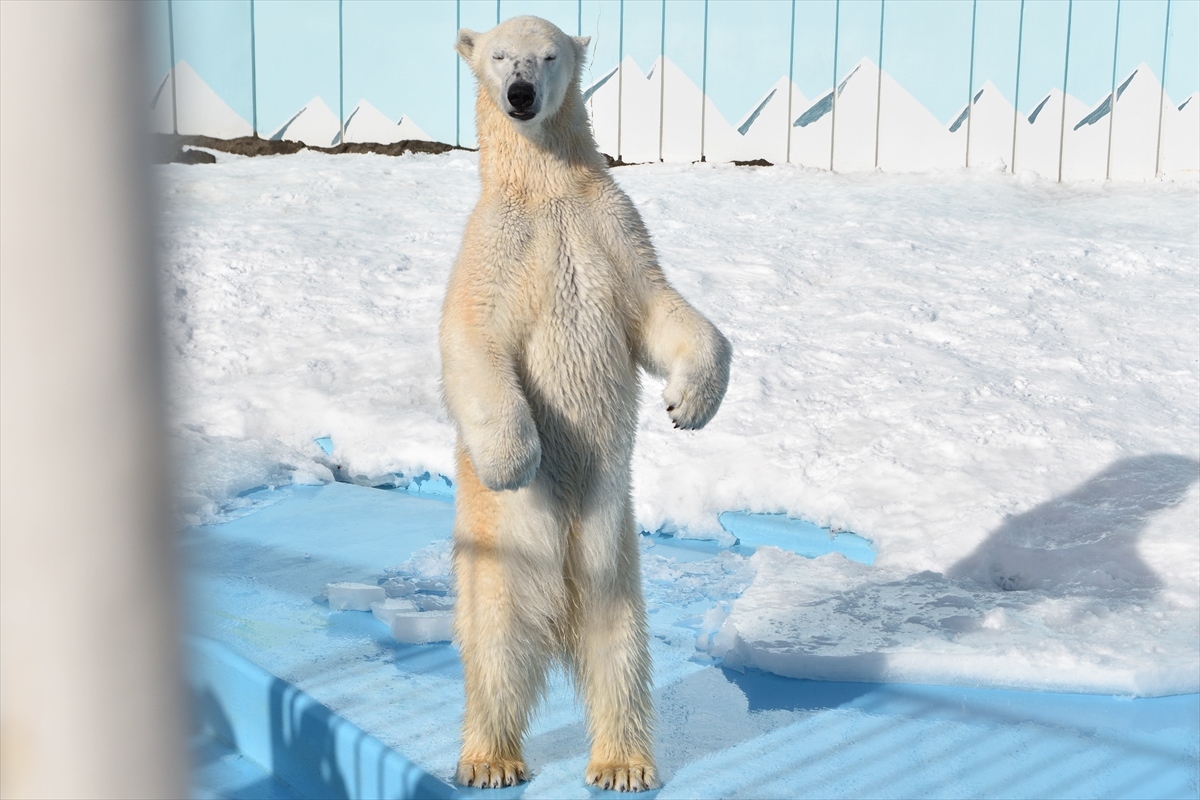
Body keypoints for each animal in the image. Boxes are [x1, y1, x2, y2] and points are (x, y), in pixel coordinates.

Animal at [441, 17, 729, 796]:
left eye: (547, 56)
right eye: (498, 56)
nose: (520, 94)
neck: (545, 190)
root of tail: (558, 610)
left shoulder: (611, 232)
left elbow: (662, 313)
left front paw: (687, 403)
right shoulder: (496, 251)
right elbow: (473, 343)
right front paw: (517, 458)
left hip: (613, 552)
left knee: (618, 647)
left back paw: (623, 762)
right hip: (500, 553)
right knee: (496, 645)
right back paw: (490, 758)